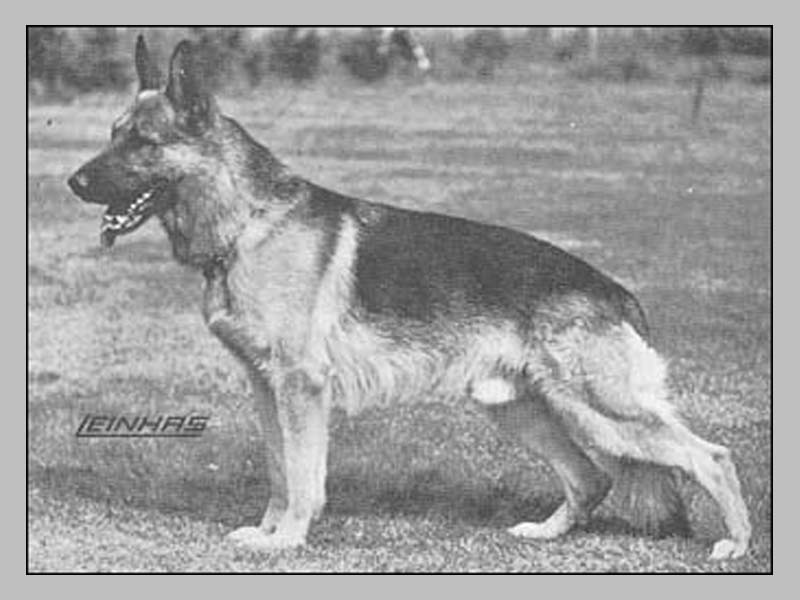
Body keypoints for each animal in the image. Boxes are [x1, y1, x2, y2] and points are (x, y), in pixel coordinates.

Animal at [68, 36, 751, 561]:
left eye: (142, 143)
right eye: (111, 135)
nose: (73, 182)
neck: (248, 222)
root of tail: (617, 291)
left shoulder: (300, 388)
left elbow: (304, 475)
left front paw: (288, 540)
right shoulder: (266, 387)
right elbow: (279, 470)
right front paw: (268, 531)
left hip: (600, 409)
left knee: (711, 456)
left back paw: (736, 545)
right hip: (520, 408)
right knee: (591, 478)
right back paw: (544, 532)